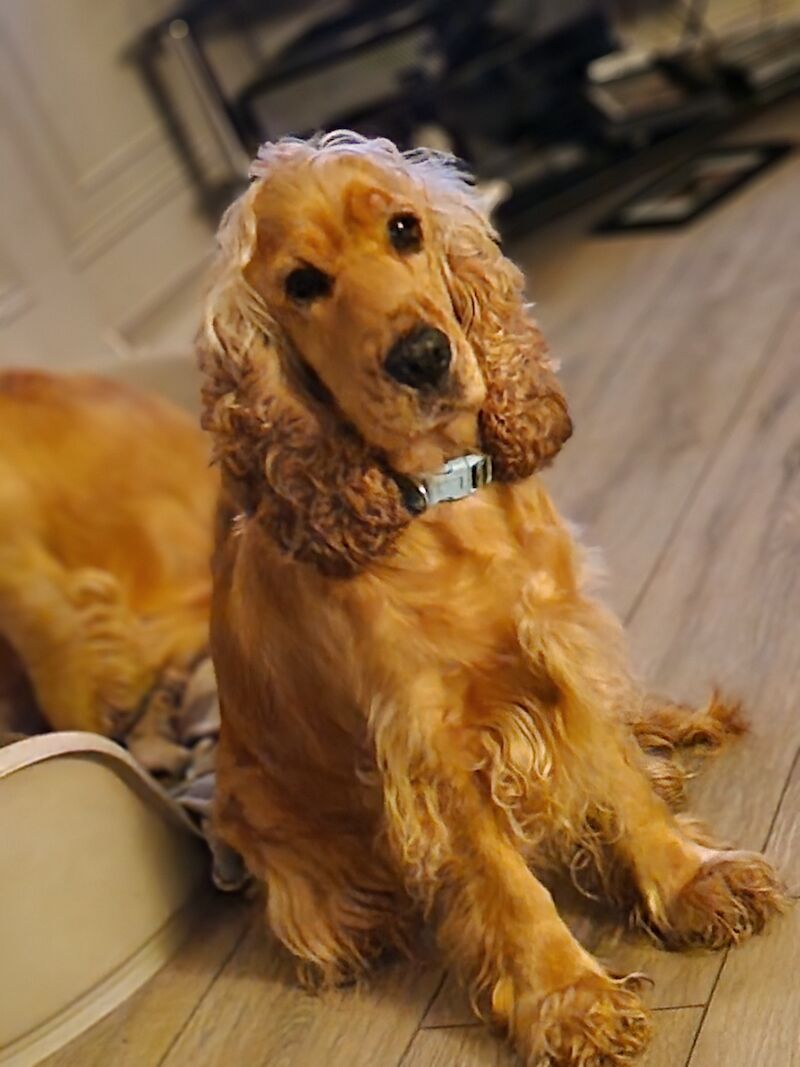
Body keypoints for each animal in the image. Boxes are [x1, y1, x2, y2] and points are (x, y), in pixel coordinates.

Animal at [197, 135, 785, 1067]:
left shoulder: (563, 650)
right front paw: (572, 999)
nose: (422, 356)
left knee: (637, 736)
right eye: (302, 284)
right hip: (279, 838)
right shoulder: (431, 742)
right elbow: (504, 880)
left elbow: (619, 782)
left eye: (405, 228)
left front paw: (691, 880)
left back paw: (678, 732)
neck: (447, 505)